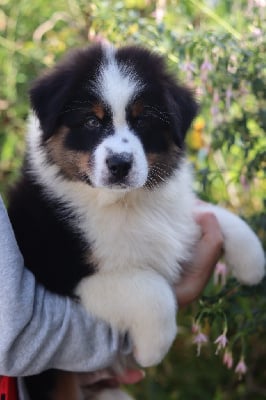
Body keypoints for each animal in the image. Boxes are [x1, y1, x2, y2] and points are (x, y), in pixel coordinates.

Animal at [7, 43, 264, 400]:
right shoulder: (61, 274)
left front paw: (253, 262)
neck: (124, 203)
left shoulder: (172, 212)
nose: (120, 164)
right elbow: (153, 291)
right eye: (91, 120)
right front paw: (152, 350)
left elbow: (207, 212)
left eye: (143, 120)